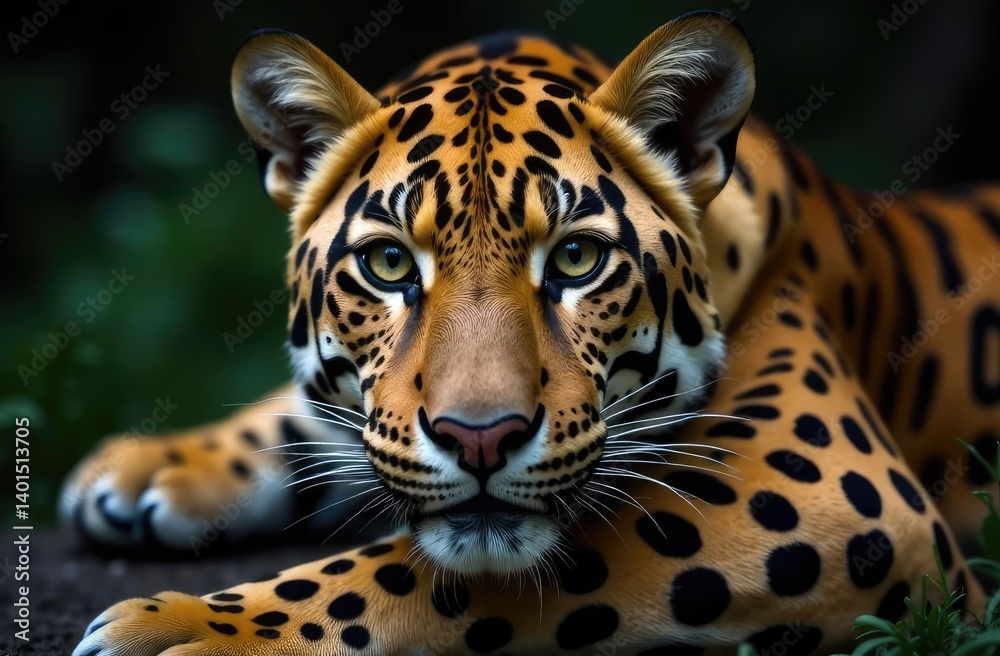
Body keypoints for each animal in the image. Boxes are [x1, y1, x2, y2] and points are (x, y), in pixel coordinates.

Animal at [66, 11, 1000, 655]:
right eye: (391, 265)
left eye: (578, 259)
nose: (481, 438)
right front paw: (148, 466)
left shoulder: (836, 490)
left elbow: (421, 574)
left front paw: (190, 628)